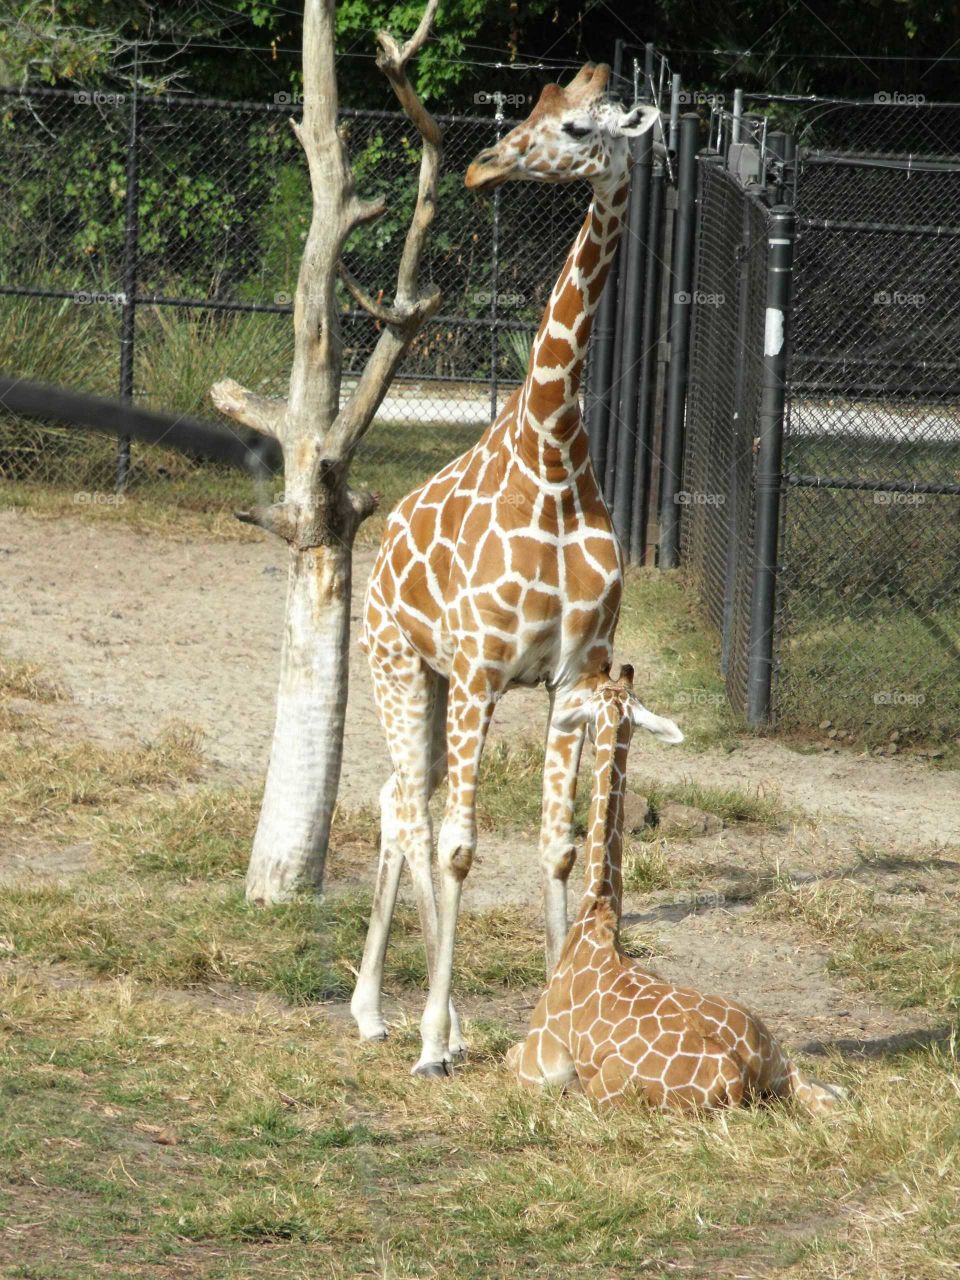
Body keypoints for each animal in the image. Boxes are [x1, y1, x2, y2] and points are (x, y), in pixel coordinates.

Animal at [349, 64, 662, 1077]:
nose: (483, 166)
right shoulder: (484, 668)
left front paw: (550, 1017)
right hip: (399, 666)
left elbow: (558, 847)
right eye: (526, 110)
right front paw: (434, 1042)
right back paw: (415, 1023)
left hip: (432, 682)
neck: (554, 456)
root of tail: (379, 553)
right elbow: (459, 846)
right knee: (414, 810)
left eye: (576, 127)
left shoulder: (576, 674)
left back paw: (379, 1010)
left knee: (394, 798)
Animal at [507, 669, 846, 1115]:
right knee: (835, 1097)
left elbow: (509, 1055)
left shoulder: (538, 1064)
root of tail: (737, 1073)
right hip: (783, 1061)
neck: (596, 916)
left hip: (608, 1092)